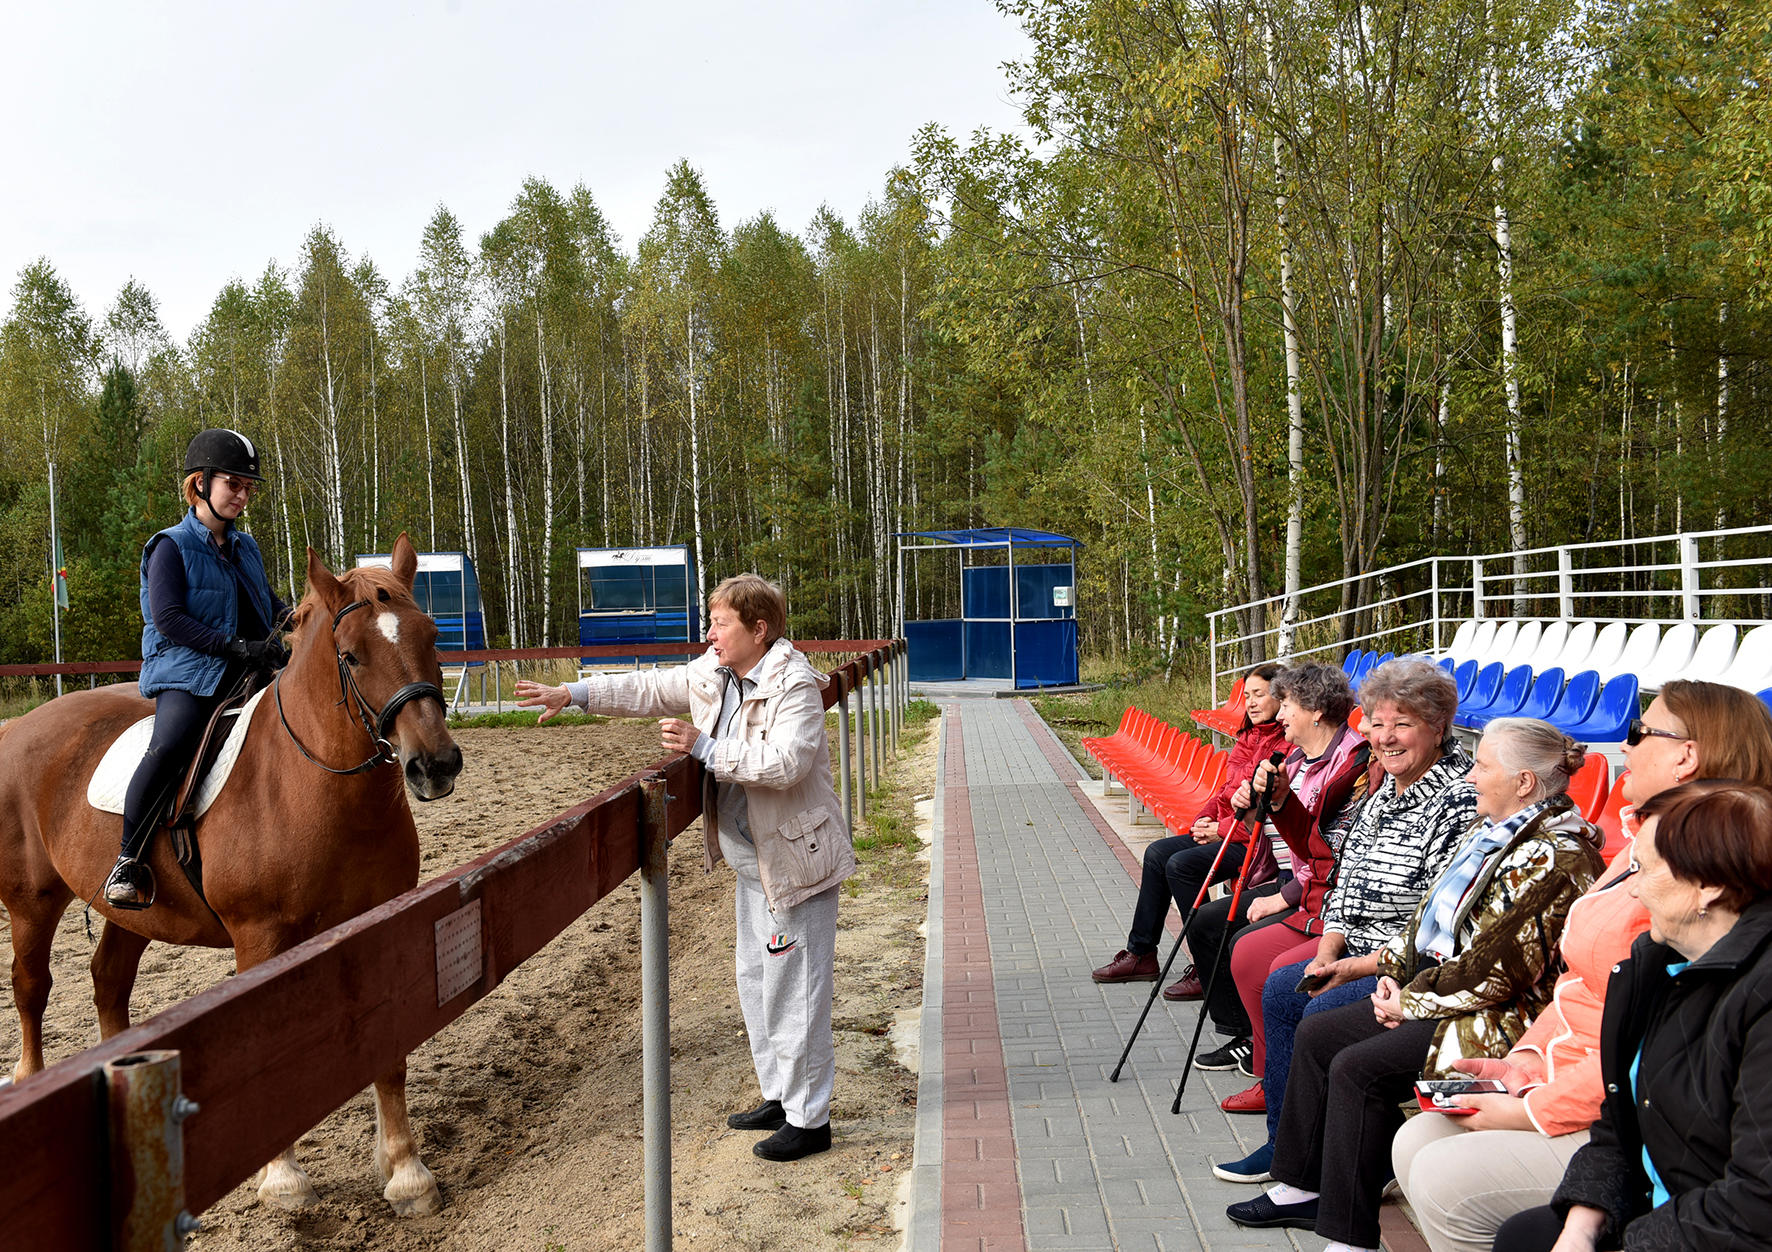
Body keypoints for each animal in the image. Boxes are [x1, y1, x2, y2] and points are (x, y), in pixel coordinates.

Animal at [0, 534, 464, 1218]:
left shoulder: (380, 921)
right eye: (351, 655)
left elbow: (389, 1046)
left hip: (131, 911)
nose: (434, 765)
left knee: (108, 982)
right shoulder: (260, 937)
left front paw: (406, 1170)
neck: (310, 781)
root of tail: (21, 725)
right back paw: (29, 1081)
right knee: (31, 988)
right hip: (32, 902)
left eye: (432, 636)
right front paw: (284, 1179)